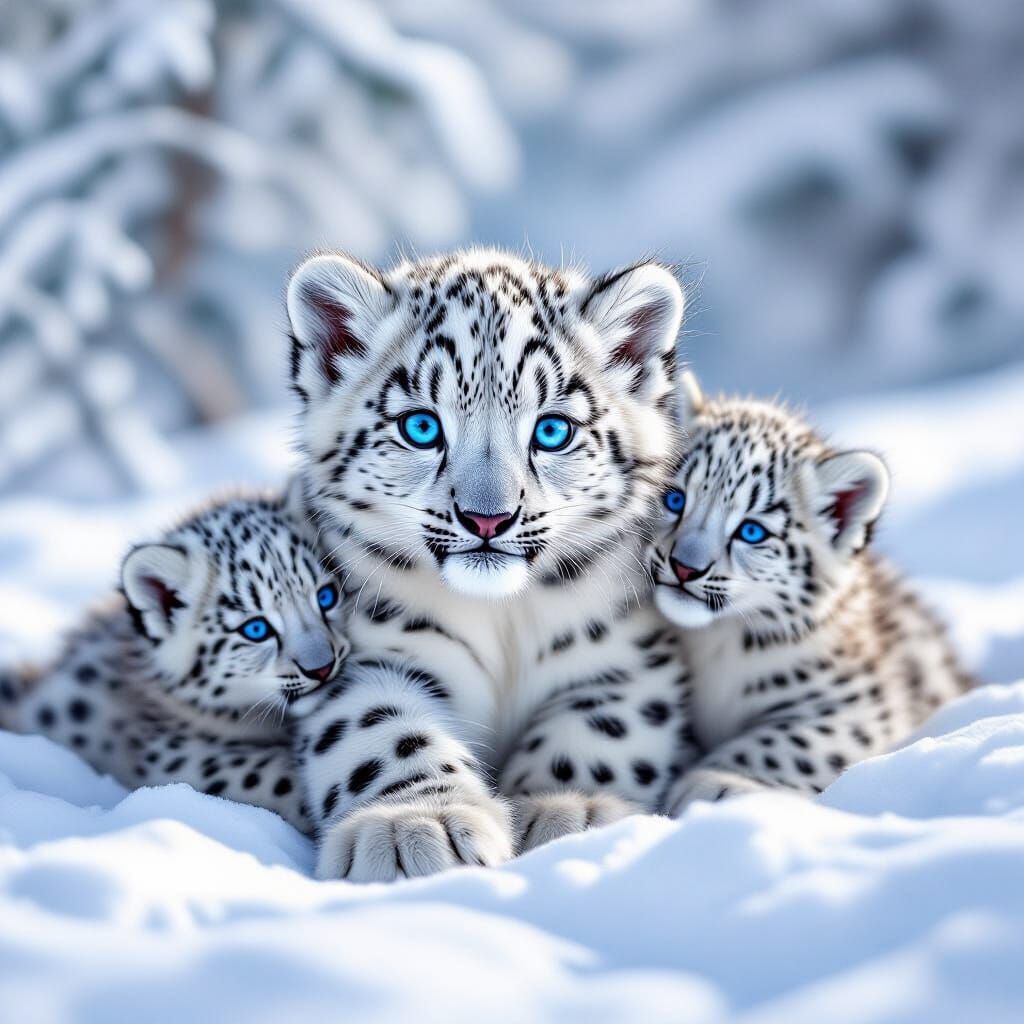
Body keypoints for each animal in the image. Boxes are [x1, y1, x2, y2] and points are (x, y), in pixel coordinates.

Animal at [284, 246, 697, 881]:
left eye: (552, 430)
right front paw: (413, 827)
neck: (504, 622)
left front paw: (569, 812)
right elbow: (382, 727)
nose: (487, 519)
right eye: (421, 426)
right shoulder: (360, 654)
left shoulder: (629, 658)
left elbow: (599, 732)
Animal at [647, 372, 973, 814]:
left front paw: (710, 783)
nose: (685, 567)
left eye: (752, 531)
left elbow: (785, 742)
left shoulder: (862, 707)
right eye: (674, 498)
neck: (714, 646)